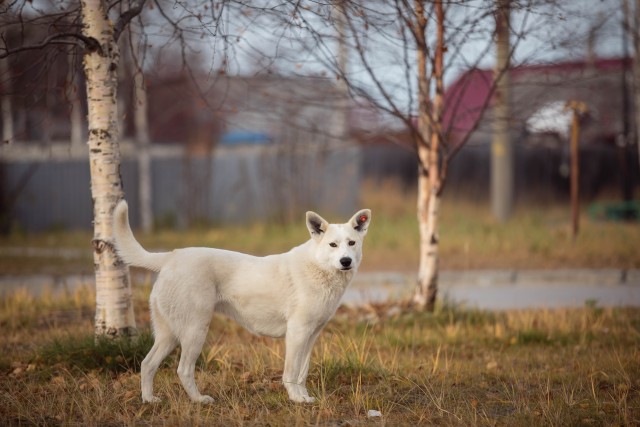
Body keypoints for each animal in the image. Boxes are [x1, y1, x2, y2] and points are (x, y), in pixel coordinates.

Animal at [112, 202, 368, 406]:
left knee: (147, 364)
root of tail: (171, 256)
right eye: (333, 245)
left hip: (169, 335)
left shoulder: (311, 335)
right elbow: (291, 372)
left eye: (352, 243)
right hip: (194, 331)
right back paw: (199, 400)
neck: (319, 267)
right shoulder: (297, 333)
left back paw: (149, 400)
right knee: (183, 369)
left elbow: (302, 372)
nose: (346, 261)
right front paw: (295, 399)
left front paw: (304, 397)